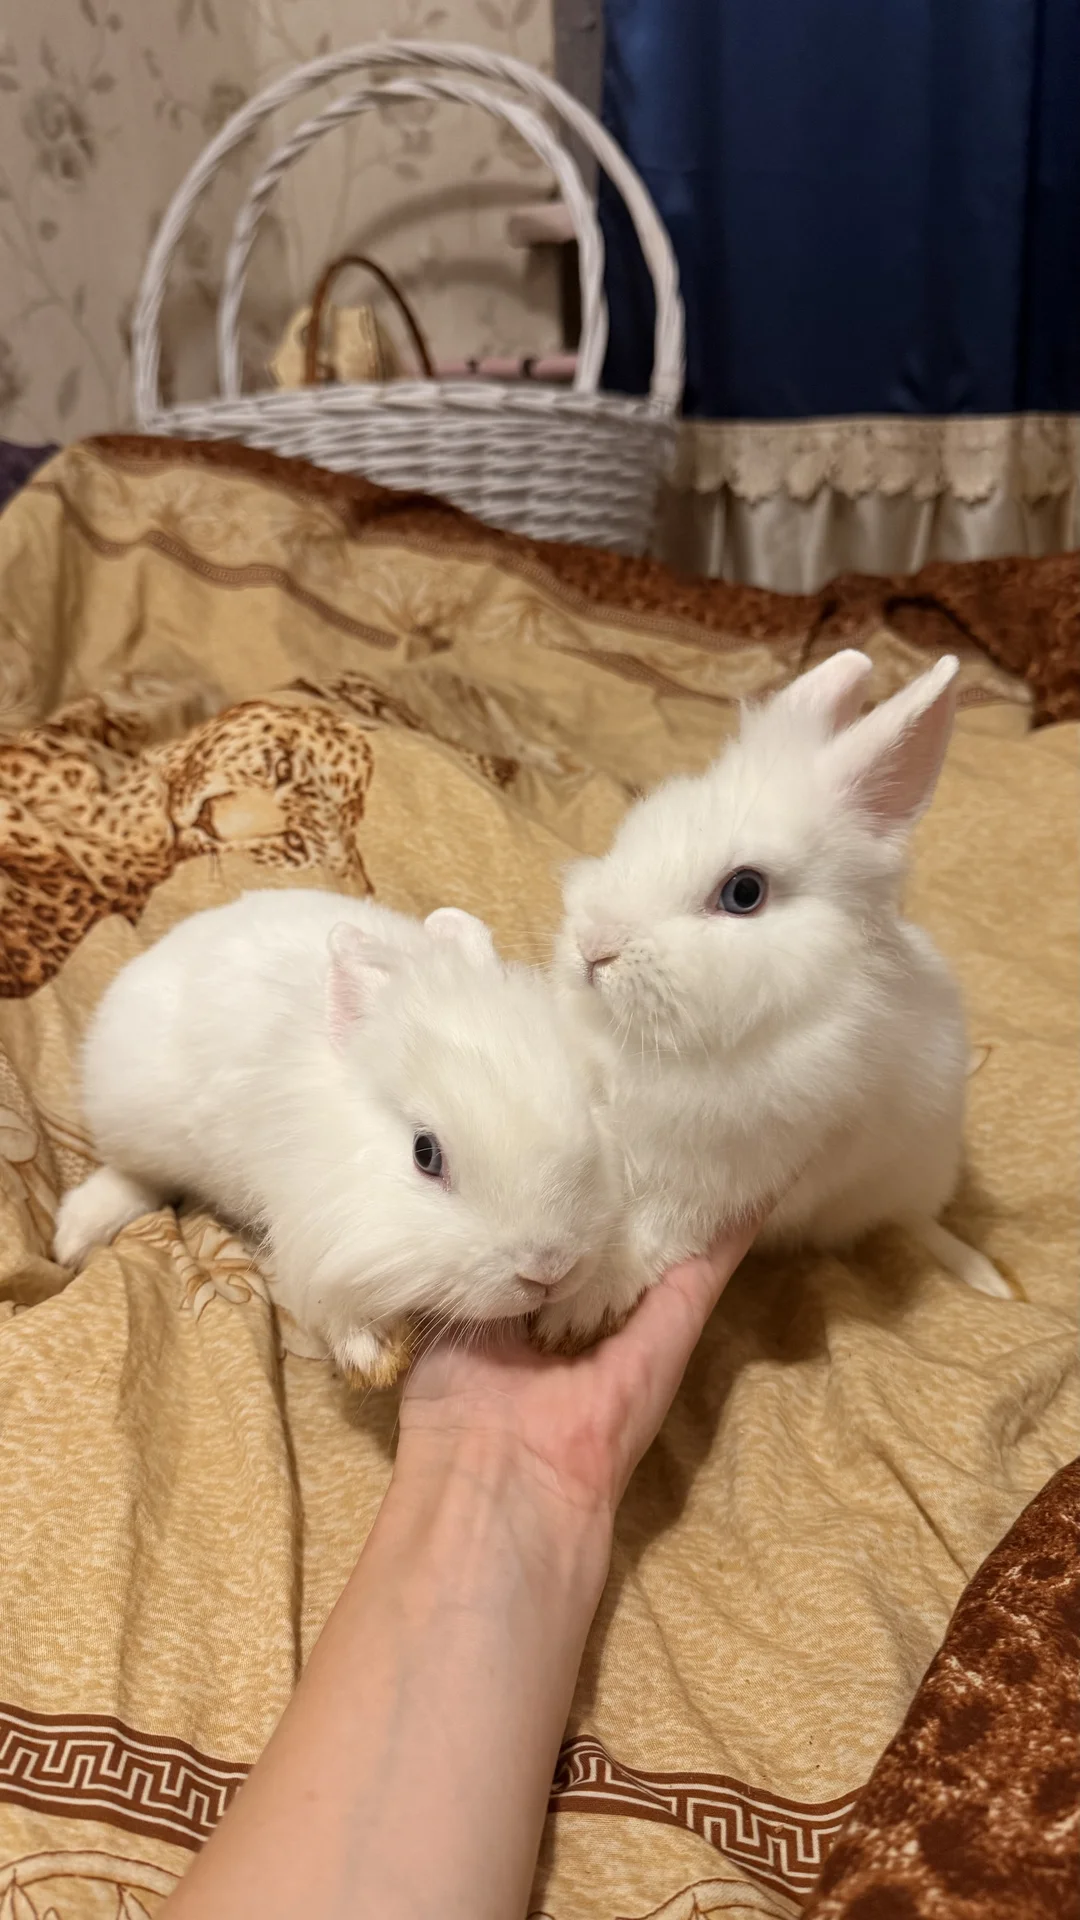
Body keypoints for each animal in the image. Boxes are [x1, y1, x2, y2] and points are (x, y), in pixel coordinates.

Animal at [53, 889, 618, 1384]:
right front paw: (375, 1358)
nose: (549, 1270)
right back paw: (74, 1236)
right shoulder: (315, 1223)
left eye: (586, 1108)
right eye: (426, 1154)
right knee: (134, 1176)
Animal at [535, 649, 1009, 1351]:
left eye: (744, 893)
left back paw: (983, 1275)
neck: (654, 1044)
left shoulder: (721, 1178)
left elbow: (651, 1233)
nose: (594, 947)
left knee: (913, 1223)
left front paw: (574, 1310)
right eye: (635, 830)